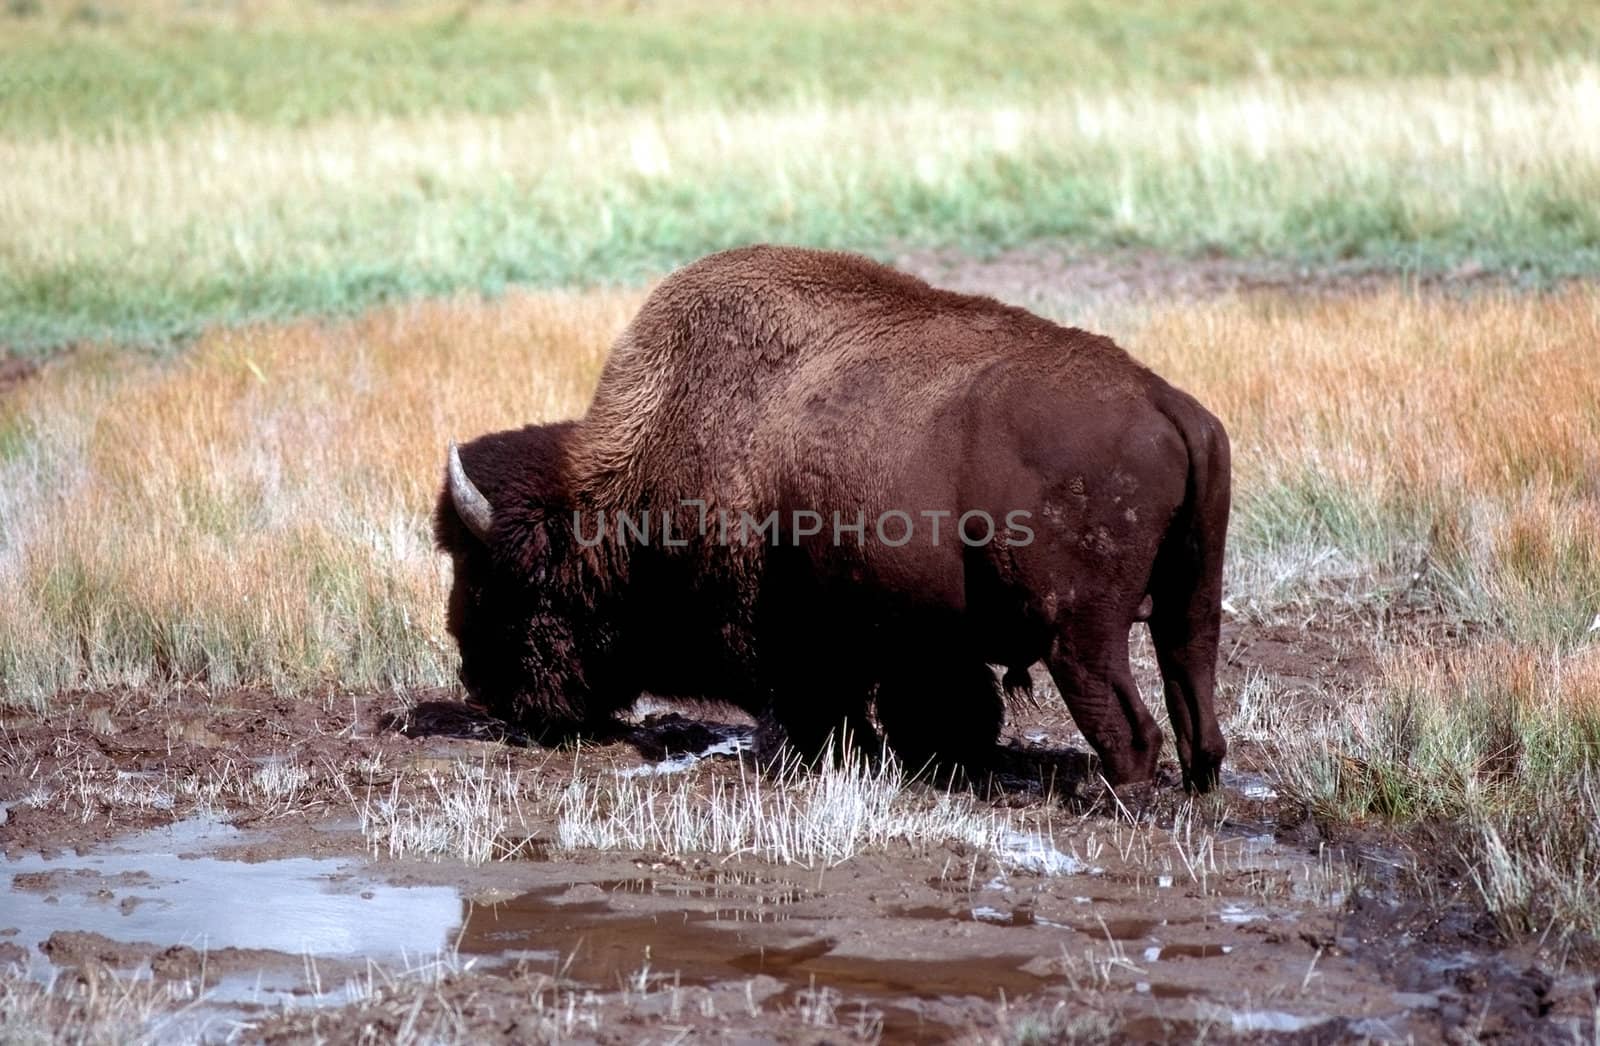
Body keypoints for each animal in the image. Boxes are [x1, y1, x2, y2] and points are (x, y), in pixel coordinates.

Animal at [432, 246, 1228, 790]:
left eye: (499, 579)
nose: (486, 688)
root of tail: (1167, 403)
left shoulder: (791, 631)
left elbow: (816, 698)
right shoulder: (914, 634)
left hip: (1080, 634)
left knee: (1129, 722)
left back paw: (1121, 796)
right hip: (1191, 602)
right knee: (1192, 690)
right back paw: (1198, 784)